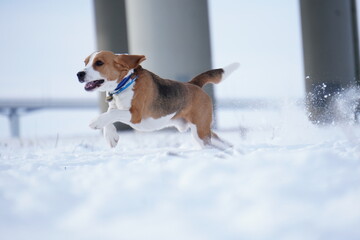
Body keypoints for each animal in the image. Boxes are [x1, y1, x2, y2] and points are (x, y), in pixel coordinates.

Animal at [77, 50, 238, 149]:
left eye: (99, 63)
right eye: (85, 63)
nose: (79, 74)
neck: (125, 83)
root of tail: (193, 84)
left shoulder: (135, 114)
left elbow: (111, 114)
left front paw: (95, 122)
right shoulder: (116, 107)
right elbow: (109, 115)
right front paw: (111, 137)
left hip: (200, 131)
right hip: (203, 131)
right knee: (220, 141)